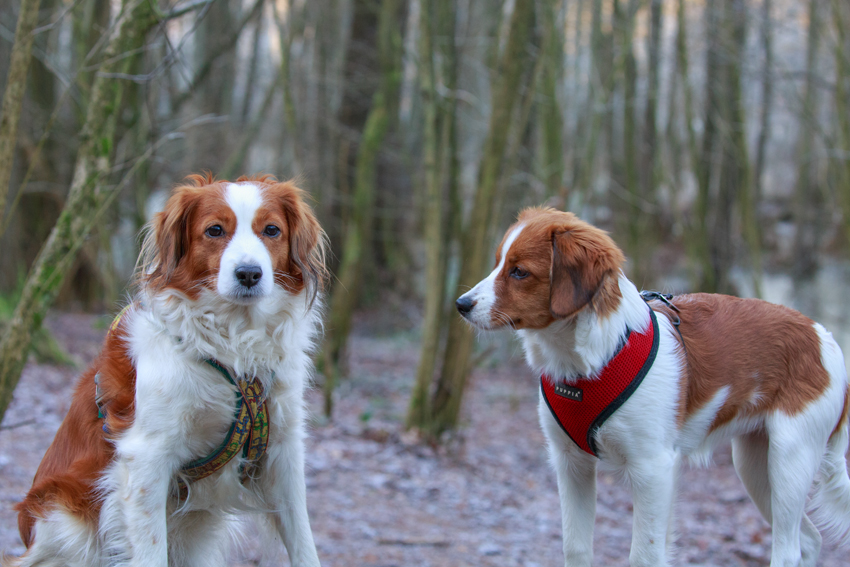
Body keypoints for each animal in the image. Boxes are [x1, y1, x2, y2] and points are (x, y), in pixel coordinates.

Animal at [9, 174, 324, 567]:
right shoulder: (146, 458)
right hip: (68, 526)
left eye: (271, 230)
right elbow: (150, 552)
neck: (233, 347)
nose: (249, 274)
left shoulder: (282, 451)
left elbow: (304, 543)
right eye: (215, 230)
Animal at [458, 209, 848, 567]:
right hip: (755, 465)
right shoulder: (571, 464)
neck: (588, 362)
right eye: (498, 263)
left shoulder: (653, 469)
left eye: (519, 271)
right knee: (809, 540)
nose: (461, 305)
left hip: (789, 458)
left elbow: (644, 555)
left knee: (789, 548)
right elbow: (576, 548)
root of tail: (824, 337)